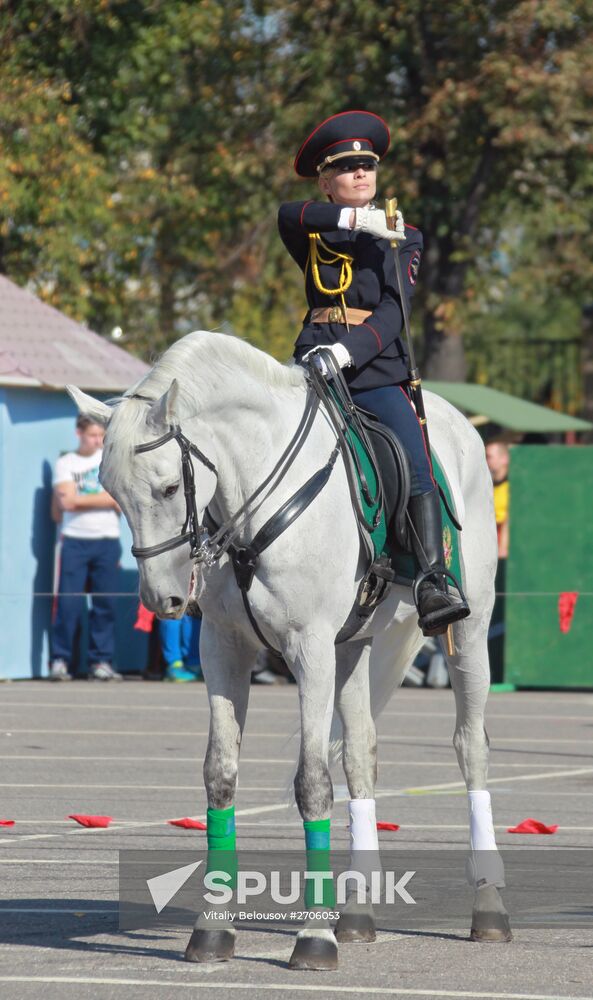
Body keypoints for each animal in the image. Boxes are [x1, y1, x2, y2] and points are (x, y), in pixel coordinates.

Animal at [69, 332, 512, 972]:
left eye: (170, 487)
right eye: (110, 492)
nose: (163, 598)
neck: (254, 494)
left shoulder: (310, 649)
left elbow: (312, 784)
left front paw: (314, 936)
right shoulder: (224, 647)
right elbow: (221, 776)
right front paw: (213, 929)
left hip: (467, 635)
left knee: (470, 747)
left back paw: (487, 908)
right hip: (353, 646)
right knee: (361, 755)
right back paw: (357, 914)